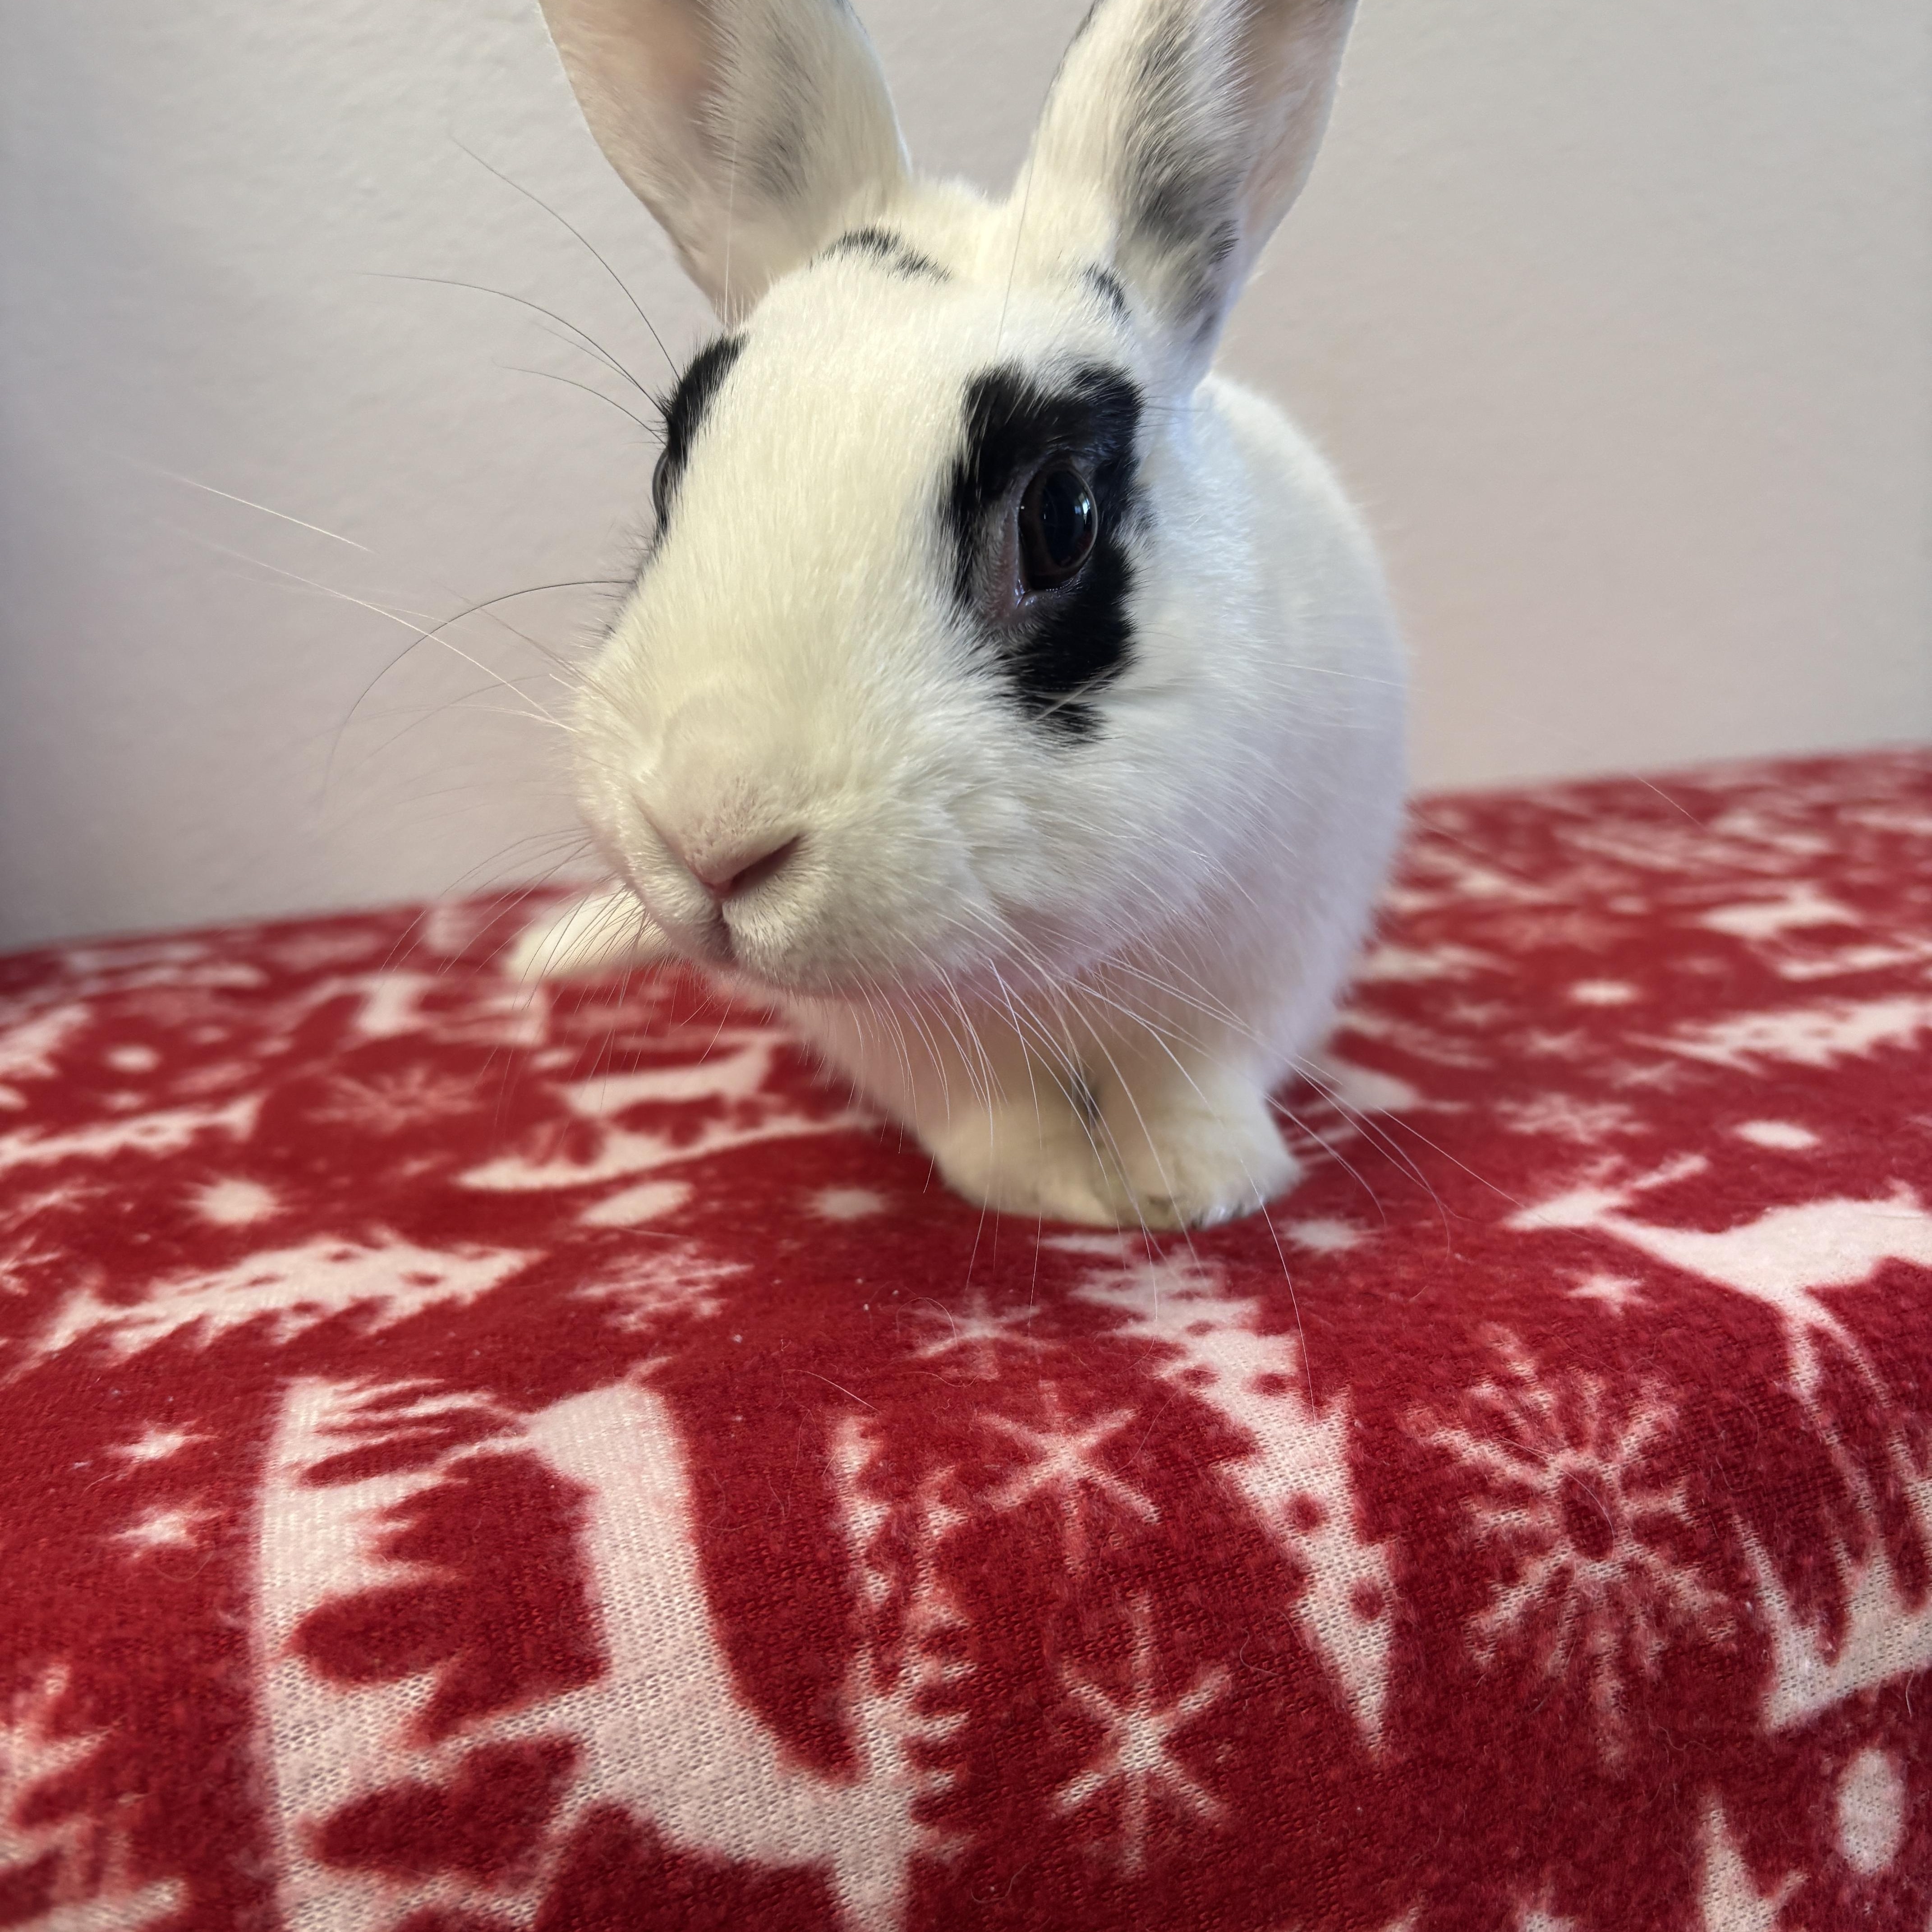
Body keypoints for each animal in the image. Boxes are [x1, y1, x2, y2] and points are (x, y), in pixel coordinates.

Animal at [509, 0, 1406, 1230]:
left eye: (1060, 515)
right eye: (667, 468)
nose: (711, 839)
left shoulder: (1262, 965)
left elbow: (1192, 1088)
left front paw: (1191, 1193)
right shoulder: (904, 1043)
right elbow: (990, 1117)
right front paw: (1053, 1192)